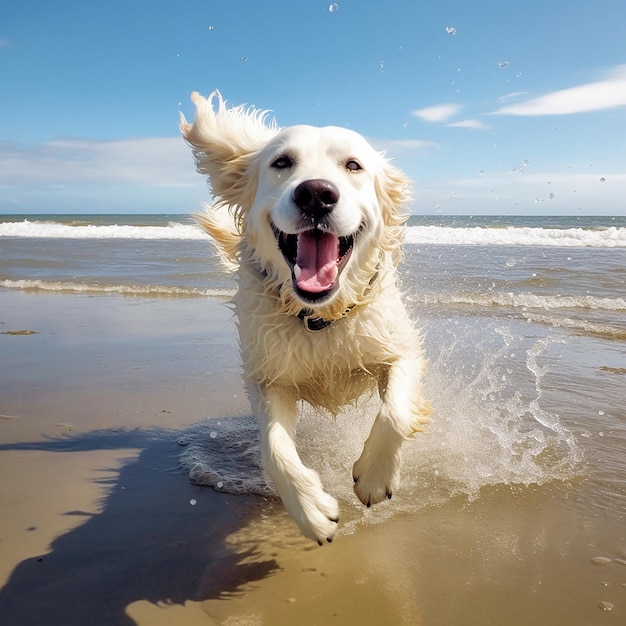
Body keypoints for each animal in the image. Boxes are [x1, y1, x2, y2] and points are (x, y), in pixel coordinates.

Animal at [178, 90, 426, 544]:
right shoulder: (268, 377)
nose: (316, 194)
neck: (319, 314)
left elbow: (395, 413)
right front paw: (311, 510)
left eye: (353, 165)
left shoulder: (400, 349)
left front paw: (374, 477)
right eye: (282, 162)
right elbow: (275, 448)